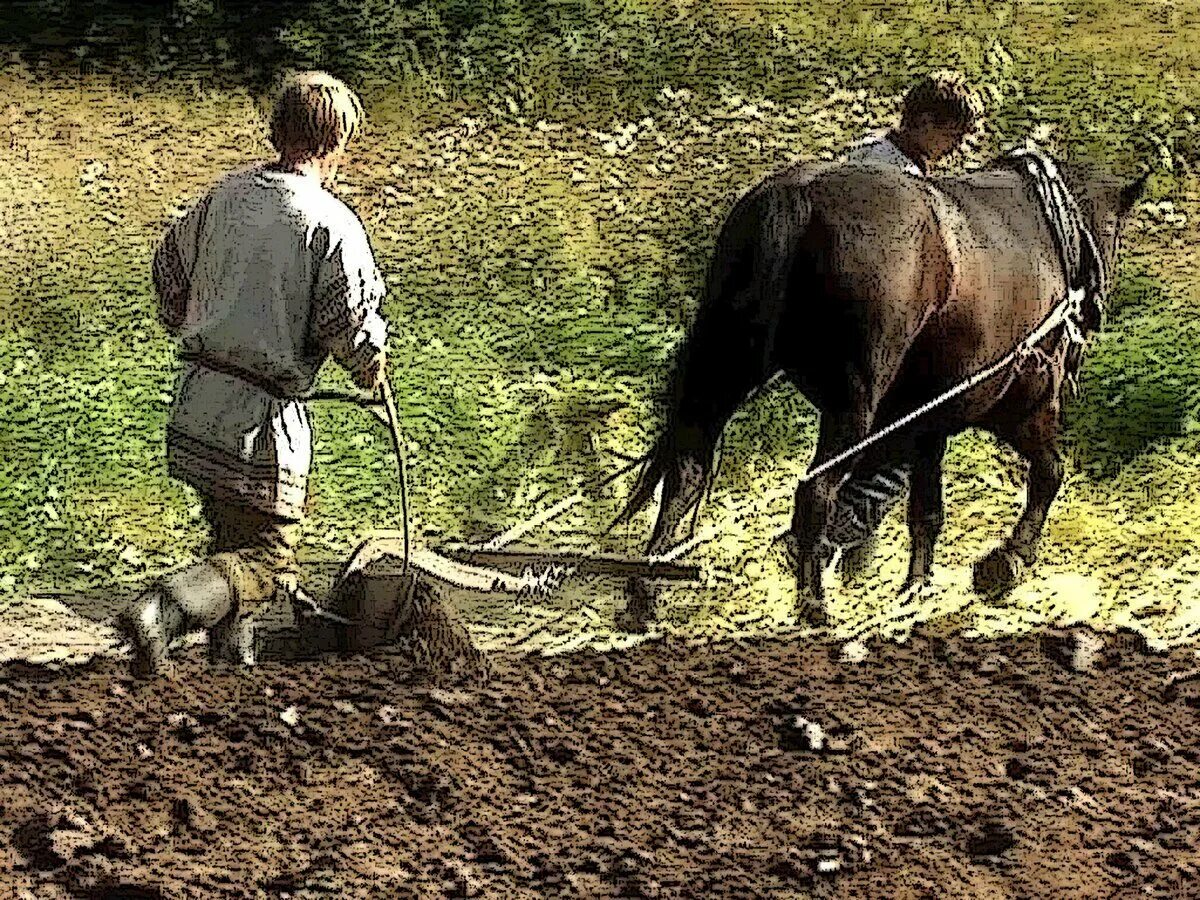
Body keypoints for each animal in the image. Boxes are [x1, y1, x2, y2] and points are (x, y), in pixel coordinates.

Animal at [614, 150, 1147, 628]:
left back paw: (645, 595)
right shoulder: (1019, 405)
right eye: (1115, 234)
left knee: (684, 473)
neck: (1052, 235)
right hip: (853, 410)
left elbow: (926, 510)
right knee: (815, 490)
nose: (1095, 312)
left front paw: (916, 588)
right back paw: (813, 607)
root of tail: (798, 195)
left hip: (723, 373)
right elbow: (1049, 473)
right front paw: (1004, 564)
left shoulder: (928, 422)